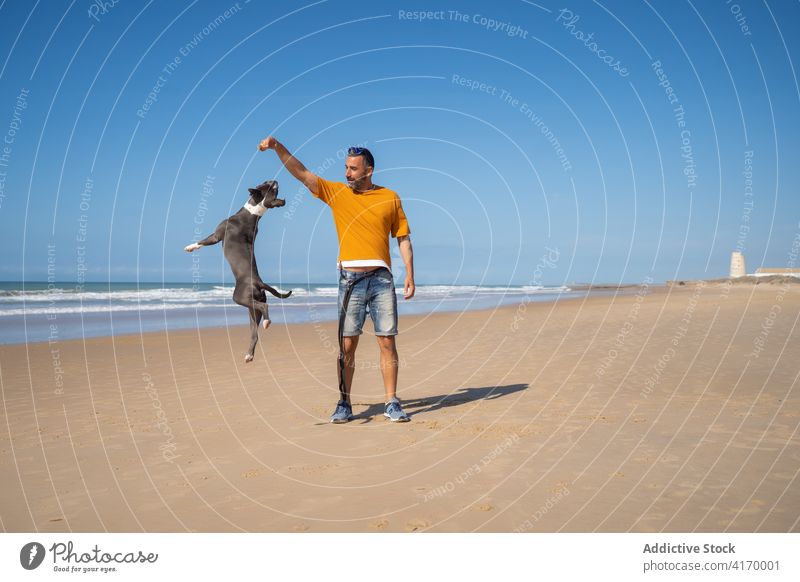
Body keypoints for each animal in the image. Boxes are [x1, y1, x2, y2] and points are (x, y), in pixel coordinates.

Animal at [184, 180, 290, 362]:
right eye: (267, 183)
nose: (275, 180)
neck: (253, 214)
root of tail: (259, 282)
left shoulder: (216, 236)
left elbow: (202, 241)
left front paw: (190, 247)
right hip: (251, 310)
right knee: (255, 333)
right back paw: (249, 354)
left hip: (240, 298)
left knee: (264, 306)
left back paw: (267, 323)